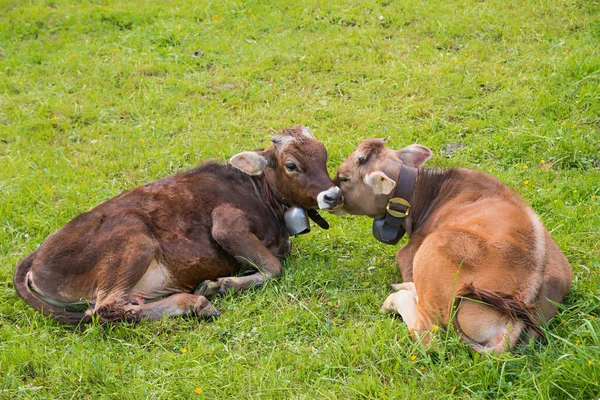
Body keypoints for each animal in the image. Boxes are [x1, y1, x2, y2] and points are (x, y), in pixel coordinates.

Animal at [14, 125, 342, 324]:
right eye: (291, 165)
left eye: (324, 155)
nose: (334, 194)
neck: (259, 192)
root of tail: (34, 257)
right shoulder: (225, 224)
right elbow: (273, 267)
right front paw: (220, 284)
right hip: (133, 237)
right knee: (105, 307)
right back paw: (196, 302)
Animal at [332, 139, 572, 352]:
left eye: (344, 177)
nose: (330, 196)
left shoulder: (409, 255)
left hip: (432, 250)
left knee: (427, 334)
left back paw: (395, 298)